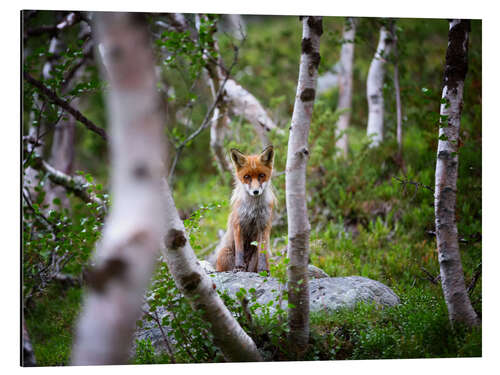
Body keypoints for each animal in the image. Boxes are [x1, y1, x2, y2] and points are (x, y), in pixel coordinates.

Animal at [215, 146, 278, 274]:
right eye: (247, 177)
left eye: (261, 175)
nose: (255, 192)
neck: (253, 209)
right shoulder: (238, 224)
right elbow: (240, 250)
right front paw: (239, 267)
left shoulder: (264, 225)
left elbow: (262, 252)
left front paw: (263, 270)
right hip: (224, 254)